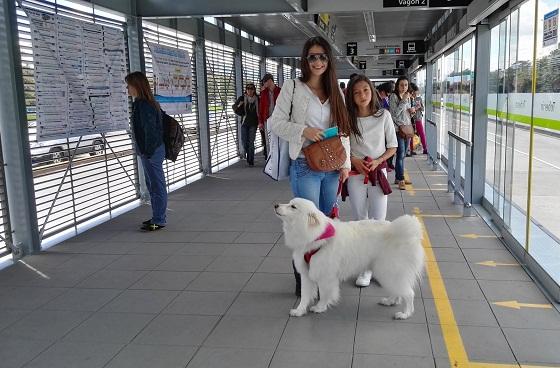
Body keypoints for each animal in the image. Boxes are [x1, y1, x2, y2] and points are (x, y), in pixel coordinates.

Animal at [274, 198, 424, 320]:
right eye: (289, 202)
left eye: (293, 206)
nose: (275, 205)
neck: (315, 235)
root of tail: (407, 233)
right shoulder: (306, 275)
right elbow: (305, 296)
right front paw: (299, 311)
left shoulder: (325, 276)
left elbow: (324, 294)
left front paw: (319, 308)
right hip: (388, 273)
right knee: (398, 291)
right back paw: (389, 301)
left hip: (389, 271)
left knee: (409, 293)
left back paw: (405, 314)